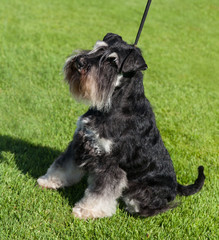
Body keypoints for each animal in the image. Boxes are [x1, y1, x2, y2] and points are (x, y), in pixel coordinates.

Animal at [36, 32, 205, 218]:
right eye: (98, 48)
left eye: (112, 61)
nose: (79, 62)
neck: (113, 105)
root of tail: (176, 187)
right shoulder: (80, 142)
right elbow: (63, 165)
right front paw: (48, 181)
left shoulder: (111, 162)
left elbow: (101, 192)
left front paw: (87, 210)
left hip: (142, 193)